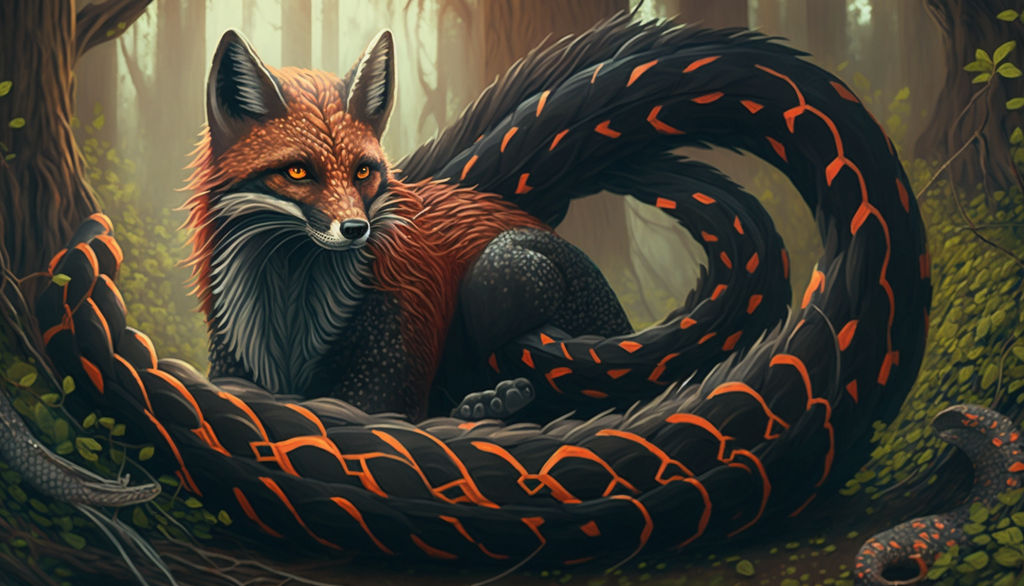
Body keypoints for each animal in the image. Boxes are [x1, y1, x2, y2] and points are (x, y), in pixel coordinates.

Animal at [35, 12, 937, 580]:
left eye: (364, 171)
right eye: (297, 172)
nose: (357, 231)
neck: (290, 304)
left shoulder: (389, 363)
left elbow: (370, 414)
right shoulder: (231, 356)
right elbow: (242, 394)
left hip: (502, 278)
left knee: (554, 384)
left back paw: (496, 401)